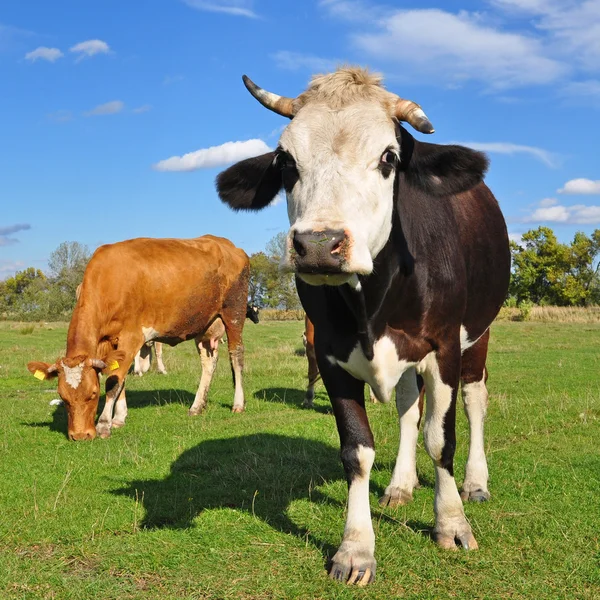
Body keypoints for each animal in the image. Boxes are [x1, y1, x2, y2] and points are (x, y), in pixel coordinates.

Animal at [28, 236, 251, 440]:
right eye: (62, 397)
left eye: (93, 393)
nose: (80, 435)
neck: (108, 280)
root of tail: (228, 245)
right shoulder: (110, 342)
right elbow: (119, 378)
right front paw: (118, 418)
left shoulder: (132, 336)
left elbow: (113, 381)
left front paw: (104, 424)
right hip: (204, 323)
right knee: (208, 361)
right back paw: (197, 406)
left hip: (235, 312)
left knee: (236, 356)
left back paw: (238, 403)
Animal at [216, 67, 510, 584]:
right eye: (286, 162)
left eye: (389, 157)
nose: (319, 244)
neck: (370, 303)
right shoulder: (332, 356)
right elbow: (358, 450)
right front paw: (355, 548)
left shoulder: (444, 346)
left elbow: (441, 438)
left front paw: (451, 524)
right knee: (409, 407)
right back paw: (401, 484)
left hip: (478, 333)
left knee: (474, 400)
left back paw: (475, 482)